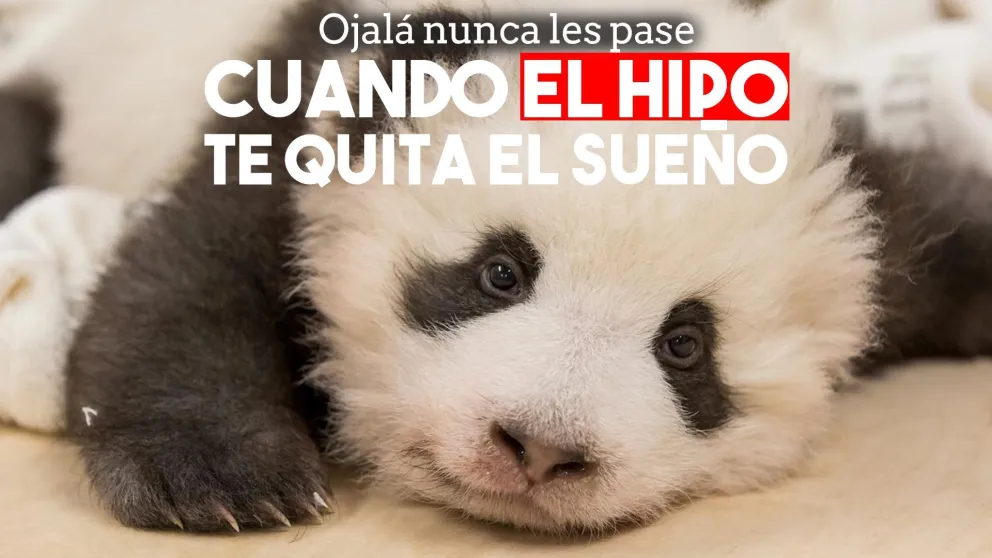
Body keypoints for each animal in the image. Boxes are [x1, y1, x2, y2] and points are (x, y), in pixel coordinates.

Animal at [2, 0, 992, 537]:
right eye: (500, 274)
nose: (539, 449)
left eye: (685, 346)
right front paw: (219, 480)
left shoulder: (880, 223)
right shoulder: (306, 108)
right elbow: (186, 275)